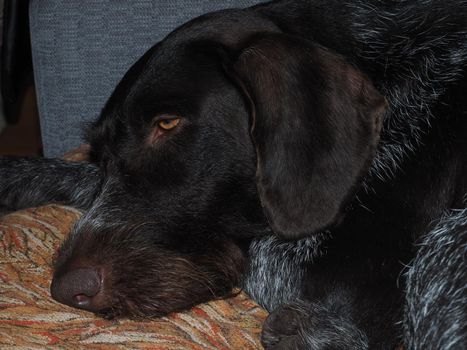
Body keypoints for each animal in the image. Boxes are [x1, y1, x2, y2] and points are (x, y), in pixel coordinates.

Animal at [0, 0, 467, 348]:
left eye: (167, 123)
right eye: (102, 152)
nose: (66, 289)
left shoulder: (358, 281)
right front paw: (17, 174)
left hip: (442, 247)